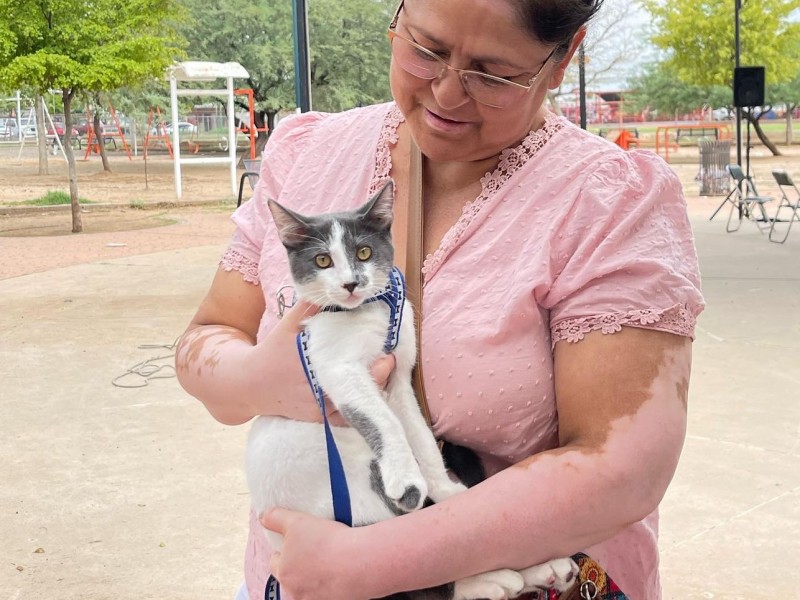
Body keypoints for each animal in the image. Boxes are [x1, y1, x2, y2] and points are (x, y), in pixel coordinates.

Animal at [247, 182, 580, 600]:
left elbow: (418, 433)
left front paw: (448, 489)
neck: (371, 313)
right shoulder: (336, 368)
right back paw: (498, 579)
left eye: (364, 252)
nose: (351, 284)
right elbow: (385, 421)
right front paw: (407, 475)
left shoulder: (399, 377)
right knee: (418, 574)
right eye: (322, 260)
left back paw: (539, 569)